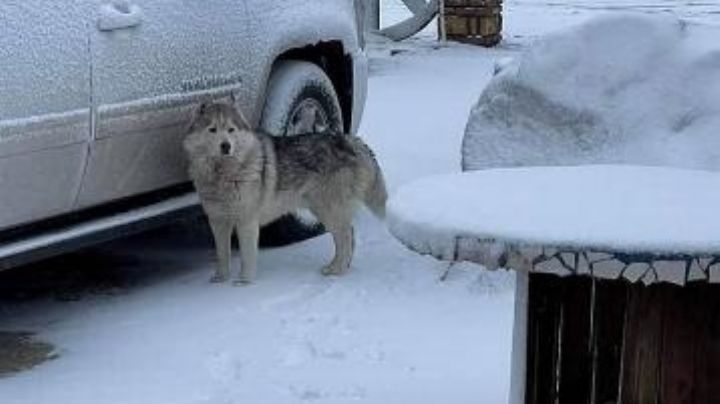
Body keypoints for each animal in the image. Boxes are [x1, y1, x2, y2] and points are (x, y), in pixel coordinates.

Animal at [186, 101, 388, 284]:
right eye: (212, 130)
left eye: (231, 129)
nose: (226, 146)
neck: (224, 174)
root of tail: (352, 140)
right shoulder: (218, 222)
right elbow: (222, 255)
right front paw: (221, 278)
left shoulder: (246, 221)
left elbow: (247, 256)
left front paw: (244, 281)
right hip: (322, 210)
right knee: (348, 237)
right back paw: (338, 267)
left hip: (329, 210)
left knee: (346, 237)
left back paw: (337, 271)